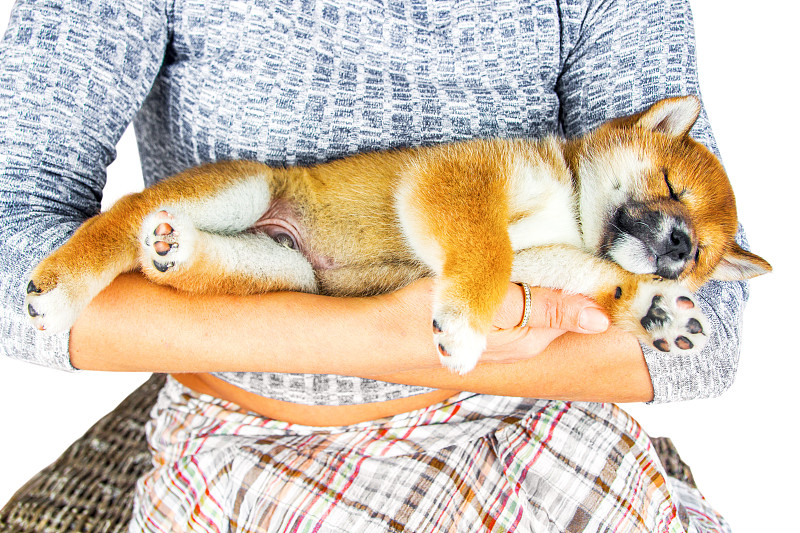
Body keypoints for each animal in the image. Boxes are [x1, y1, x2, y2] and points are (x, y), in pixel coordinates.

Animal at [26, 95, 768, 372]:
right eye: (672, 187)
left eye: (700, 254)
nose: (679, 247)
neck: (571, 208)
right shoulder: (457, 184)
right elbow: (487, 253)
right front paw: (464, 327)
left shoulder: (547, 259)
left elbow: (592, 274)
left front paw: (656, 309)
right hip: (247, 188)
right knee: (123, 215)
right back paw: (64, 284)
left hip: (279, 266)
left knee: (194, 262)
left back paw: (175, 250)